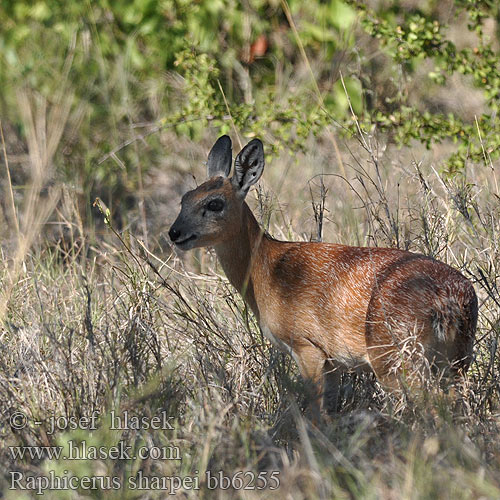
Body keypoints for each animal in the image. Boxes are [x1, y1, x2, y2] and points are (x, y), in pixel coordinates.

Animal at [170, 137, 478, 414]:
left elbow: (316, 413)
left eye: (214, 203)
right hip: (457, 357)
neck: (266, 270)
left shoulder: (307, 346)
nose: (175, 233)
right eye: (184, 199)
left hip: (395, 357)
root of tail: (449, 300)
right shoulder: (332, 362)